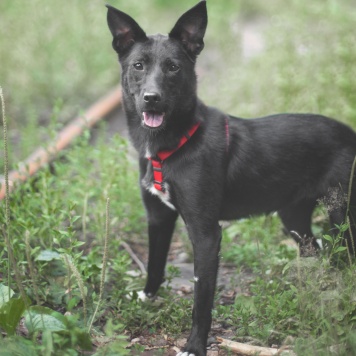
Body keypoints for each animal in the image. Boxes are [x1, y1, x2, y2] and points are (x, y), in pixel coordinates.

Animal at [106, 2, 356, 354]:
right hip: (294, 217)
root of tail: (351, 134)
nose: (151, 98)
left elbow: (202, 299)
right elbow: (155, 264)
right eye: (138, 65)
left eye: (173, 68)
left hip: (342, 214)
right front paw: (146, 297)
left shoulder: (206, 234)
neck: (173, 144)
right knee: (319, 252)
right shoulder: (158, 216)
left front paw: (194, 345)